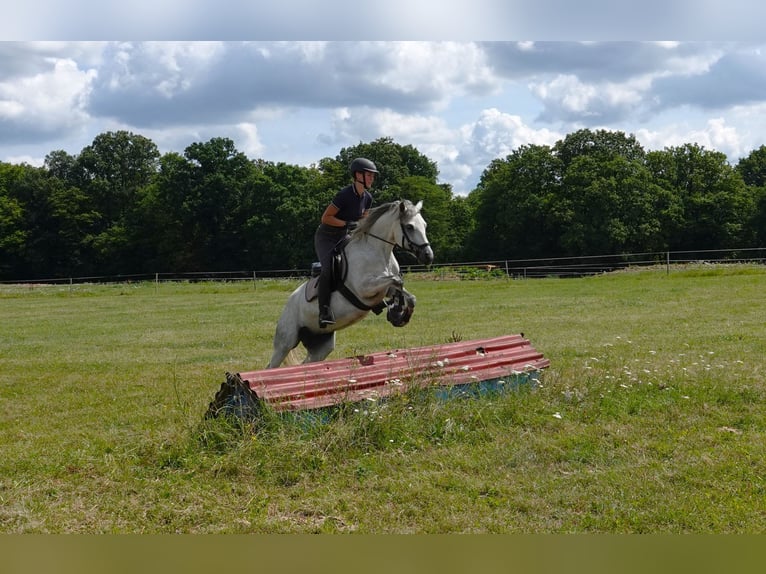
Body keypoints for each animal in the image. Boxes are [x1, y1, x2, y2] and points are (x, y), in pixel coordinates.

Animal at [266, 199, 432, 368]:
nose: (428, 256)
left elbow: (406, 293)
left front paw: (399, 316)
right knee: (272, 365)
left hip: (321, 344)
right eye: (410, 227)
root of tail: (287, 304)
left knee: (308, 362)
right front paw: (396, 311)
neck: (378, 252)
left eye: (425, 225)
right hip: (286, 342)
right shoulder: (364, 288)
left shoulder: (385, 288)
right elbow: (396, 280)